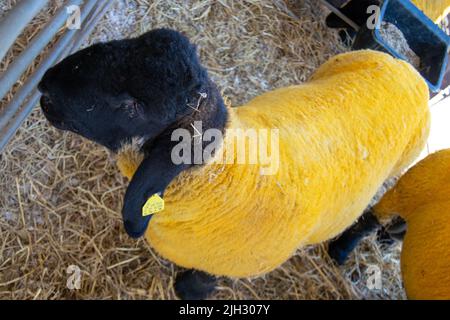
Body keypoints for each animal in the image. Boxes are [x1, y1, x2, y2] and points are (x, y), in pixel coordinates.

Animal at [37, 28, 428, 298]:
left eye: (130, 106)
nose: (45, 83)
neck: (218, 176)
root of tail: (407, 68)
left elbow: (195, 285)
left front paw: (190, 288)